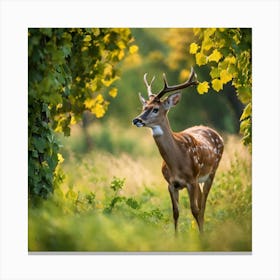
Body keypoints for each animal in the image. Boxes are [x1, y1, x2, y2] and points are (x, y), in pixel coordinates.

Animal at [132, 68, 224, 234]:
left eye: (155, 109)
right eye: (143, 108)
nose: (136, 120)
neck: (178, 162)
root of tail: (215, 132)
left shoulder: (191, 180)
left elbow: (195, 210)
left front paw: (201, 238)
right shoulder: (171, 183)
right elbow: (175, 212)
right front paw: (176, 237)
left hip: (211, 172)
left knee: (202, 205)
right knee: (201, 202)